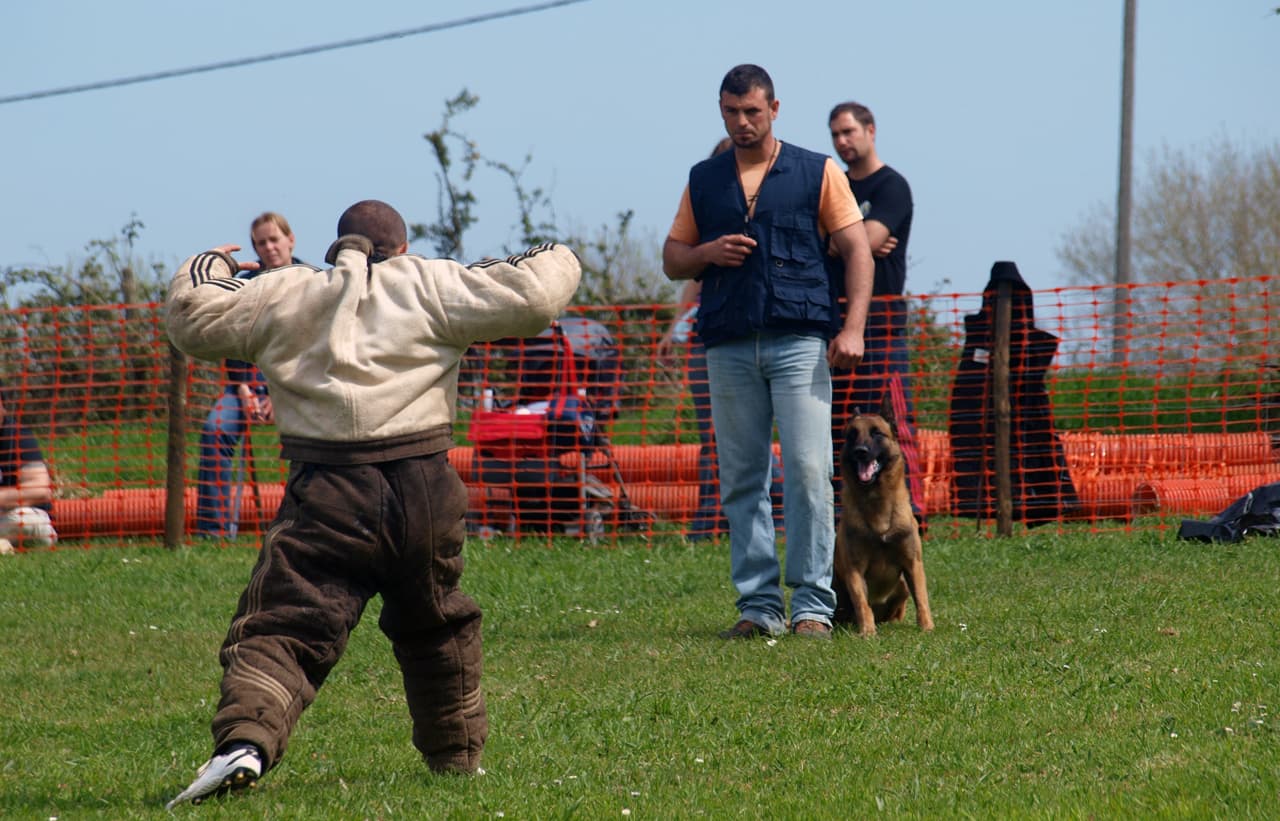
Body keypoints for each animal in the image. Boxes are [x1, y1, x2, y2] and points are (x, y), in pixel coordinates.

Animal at [829, 394, 931, 637]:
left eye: (877, 433)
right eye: (852, 435)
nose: (860, 451)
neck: (877, 503)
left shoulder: (913, 563)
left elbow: (922, 598)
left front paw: (928, 627)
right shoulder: (854, 570)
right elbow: (862, 603)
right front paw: (867, 632)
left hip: (902, 585)